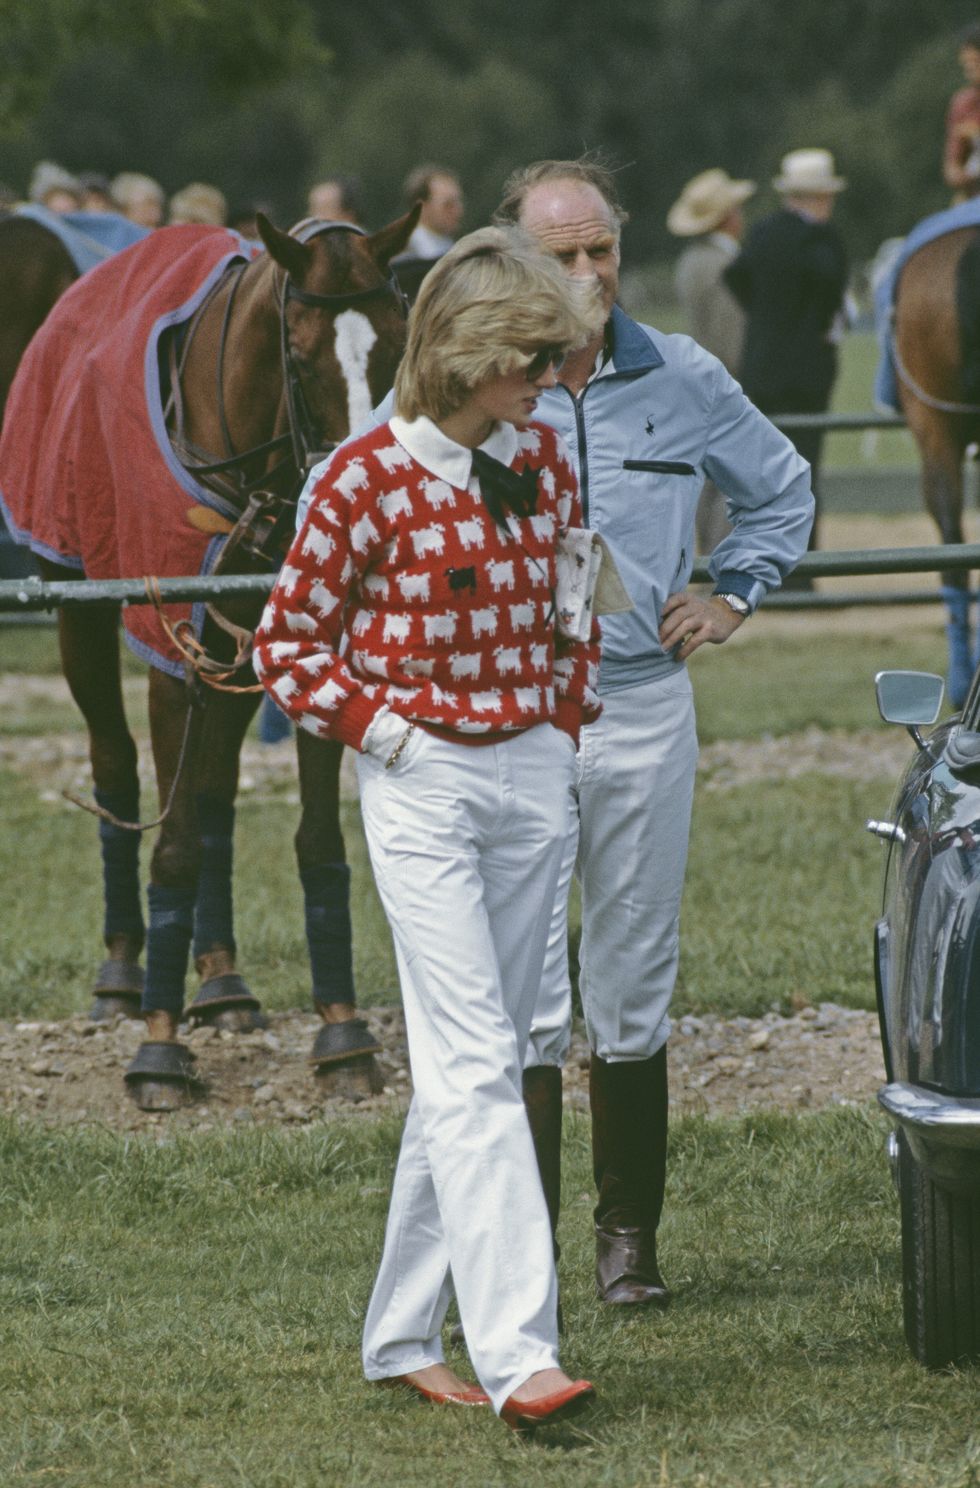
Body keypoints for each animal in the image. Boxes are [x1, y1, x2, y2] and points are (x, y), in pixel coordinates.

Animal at [0, 212, 419, 1118]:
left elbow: (314, 839)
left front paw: (342, 1033)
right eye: (299, 355)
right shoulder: (171, 648)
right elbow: (175, 843)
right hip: (80, 610)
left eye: (397, 344)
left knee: (214, 785)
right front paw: (158, 1052)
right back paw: (123, 974)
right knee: (117, 762)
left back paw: (224, 983)